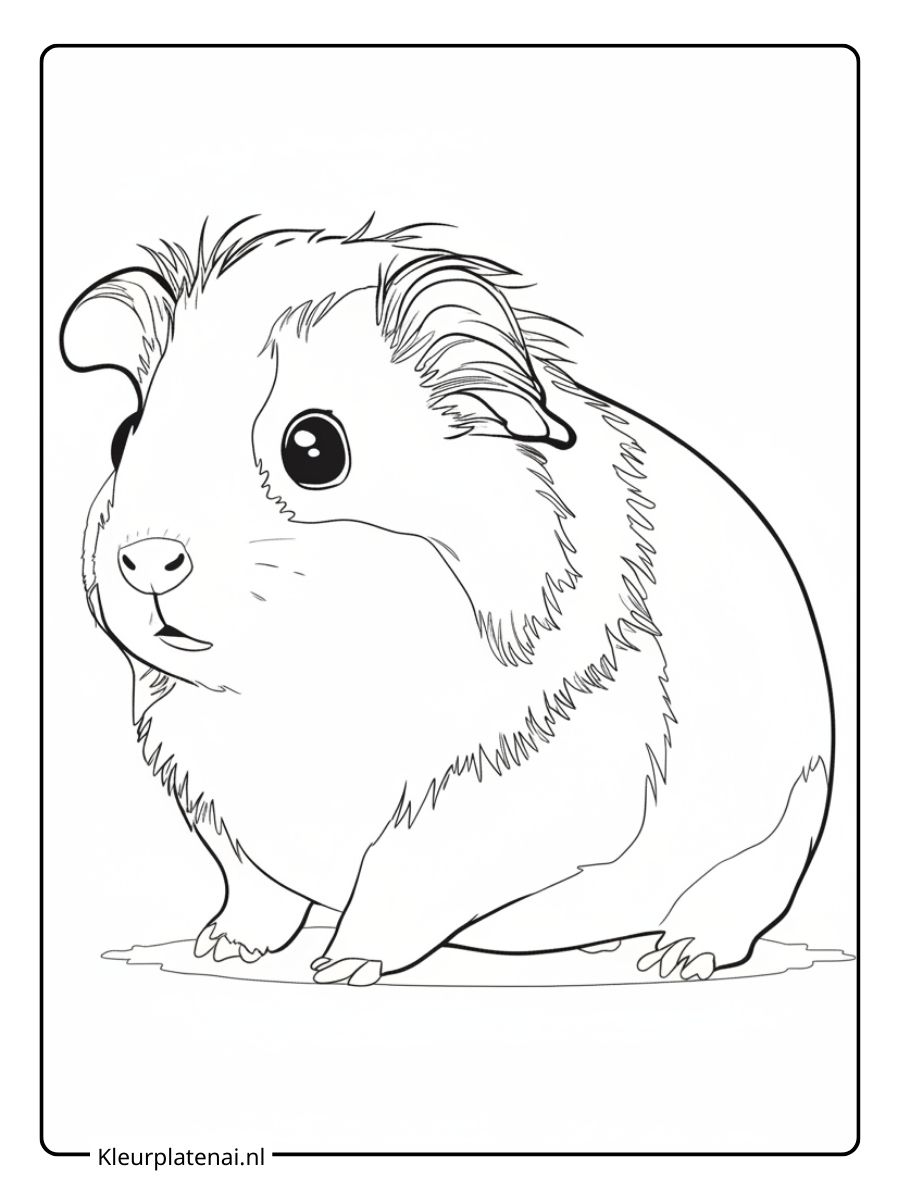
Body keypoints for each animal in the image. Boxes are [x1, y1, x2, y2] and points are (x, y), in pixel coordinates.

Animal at [60, 218, 833, 984]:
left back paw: (676, 958)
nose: (146, 559)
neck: (308, 698)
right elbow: (254, 889)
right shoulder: (220, 812)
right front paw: (219, 947)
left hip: (772, 840)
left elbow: (395, 876)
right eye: (124, 436)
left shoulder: (493, 802)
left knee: (733, 904)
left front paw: (343, 967)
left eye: (314, 448)